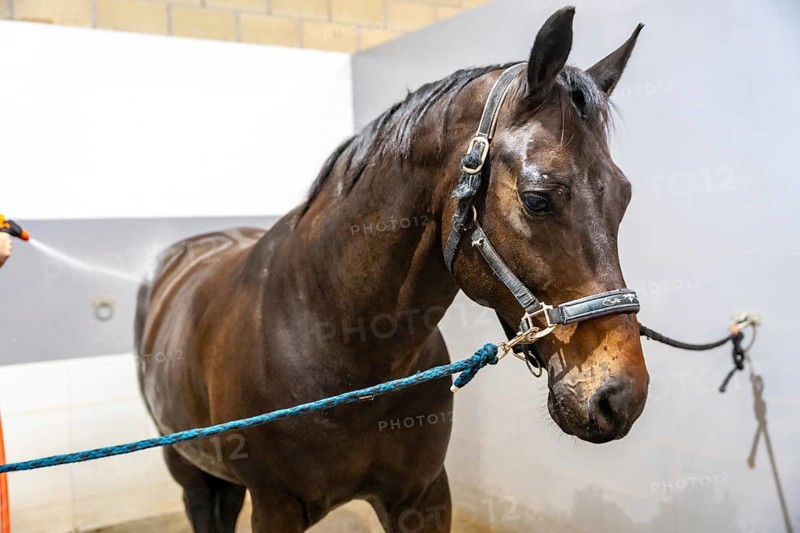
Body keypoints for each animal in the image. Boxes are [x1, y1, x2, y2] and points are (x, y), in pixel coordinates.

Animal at [135, 7, 648, 532]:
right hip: (189, 470)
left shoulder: (423, 496)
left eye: (624, 197)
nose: (620, 396)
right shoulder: (275, 507)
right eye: (537, 199)